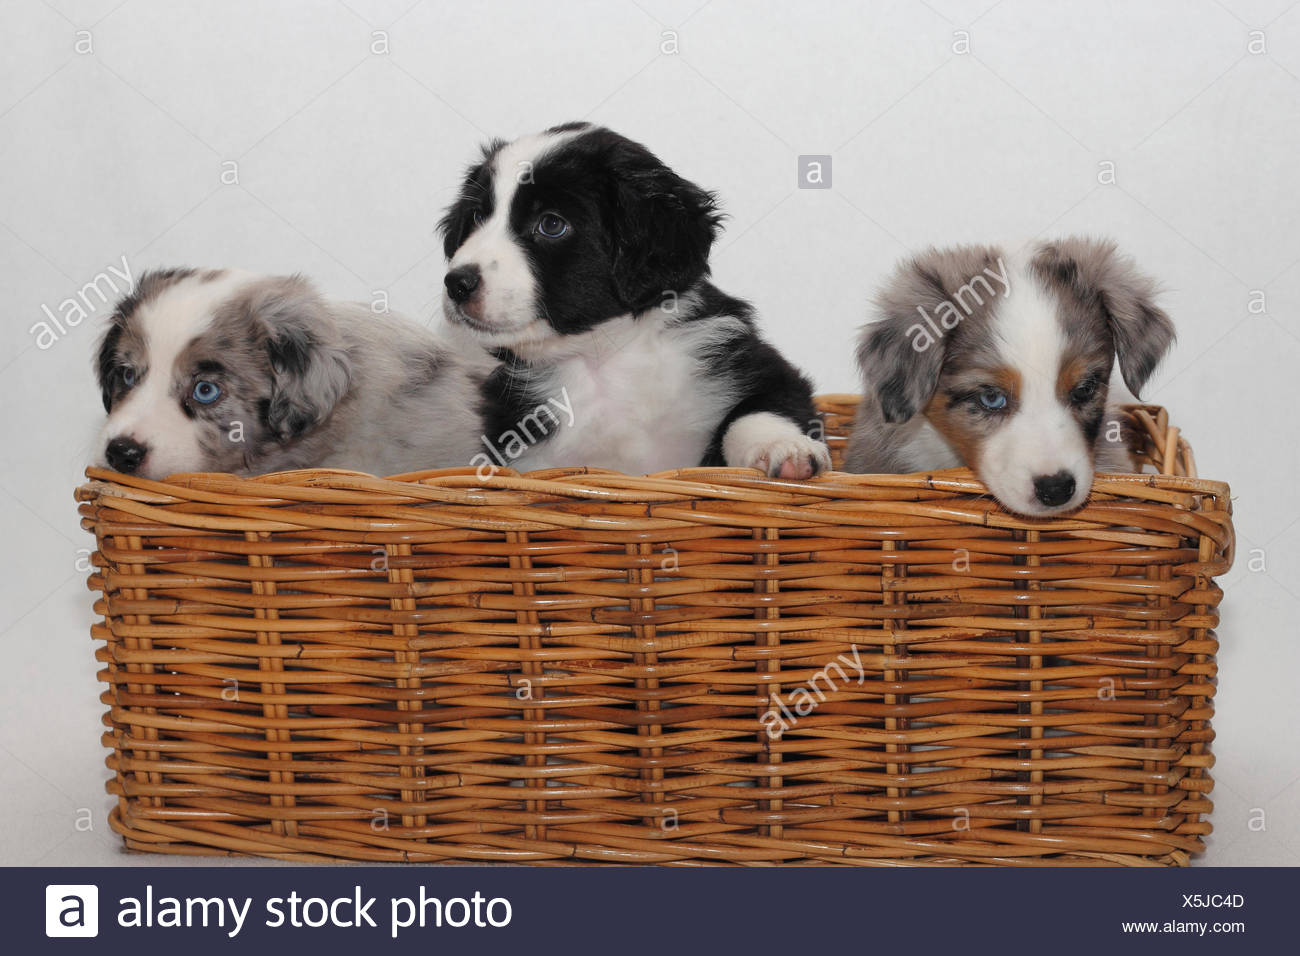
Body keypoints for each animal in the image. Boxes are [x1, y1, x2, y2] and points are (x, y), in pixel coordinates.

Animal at [434, 121, 821, 478]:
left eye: (551, 224)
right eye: (478, 217)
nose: (457, 283)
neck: (602, 358)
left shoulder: (756, 366)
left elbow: (757, 409)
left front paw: (782, 449)